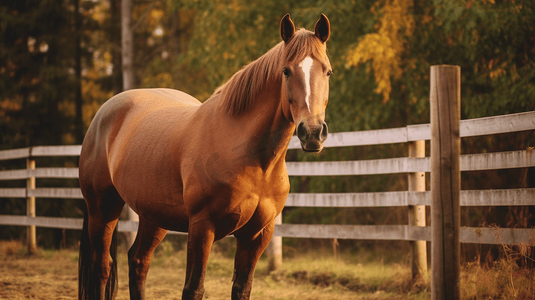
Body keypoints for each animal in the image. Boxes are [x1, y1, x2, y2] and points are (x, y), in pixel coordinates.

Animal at [78, 12, 332, 298]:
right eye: (286, 71)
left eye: (328, 71)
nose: (312, 132)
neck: (254, 160)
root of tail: (103, 114)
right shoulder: (202, 227)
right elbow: (193, 288)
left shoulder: (257, 235)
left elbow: (242, 288)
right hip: (103, 208)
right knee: (102, 266)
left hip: (154, 216)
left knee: (138, 261)